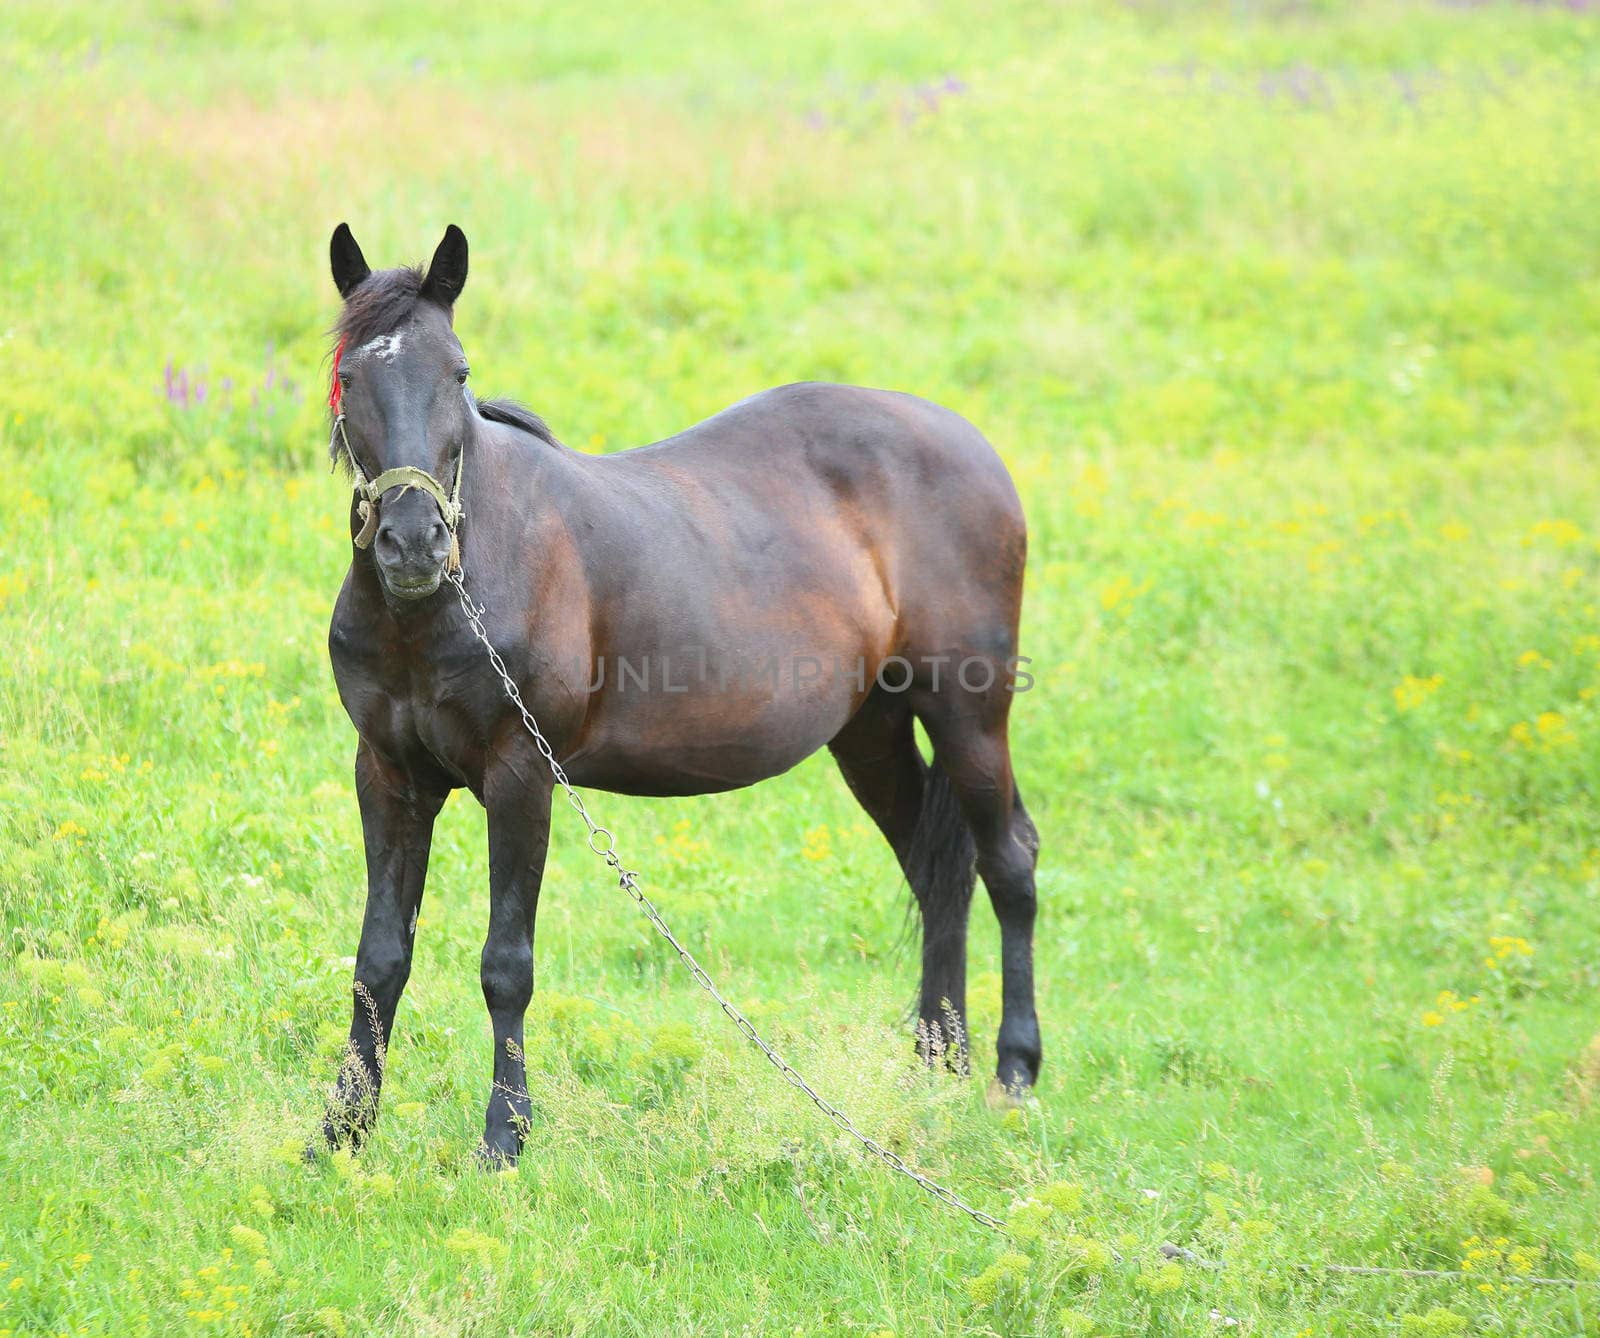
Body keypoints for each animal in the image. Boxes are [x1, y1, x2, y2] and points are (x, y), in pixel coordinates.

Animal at [315, 224, 1036, 1165]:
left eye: (459, 372)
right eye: (350, 376)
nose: (412, 541)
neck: (444, 602)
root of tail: (971, 444)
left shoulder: (522, 777)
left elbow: (506, 964)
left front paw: (504, 1137)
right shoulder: (389, 778)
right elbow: (379, 959)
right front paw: (340, 1132)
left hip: (968, 714)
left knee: (1009, 861)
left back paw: (1014, 1073)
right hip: (871, 729)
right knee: (934, 869)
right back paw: (936, 1064)